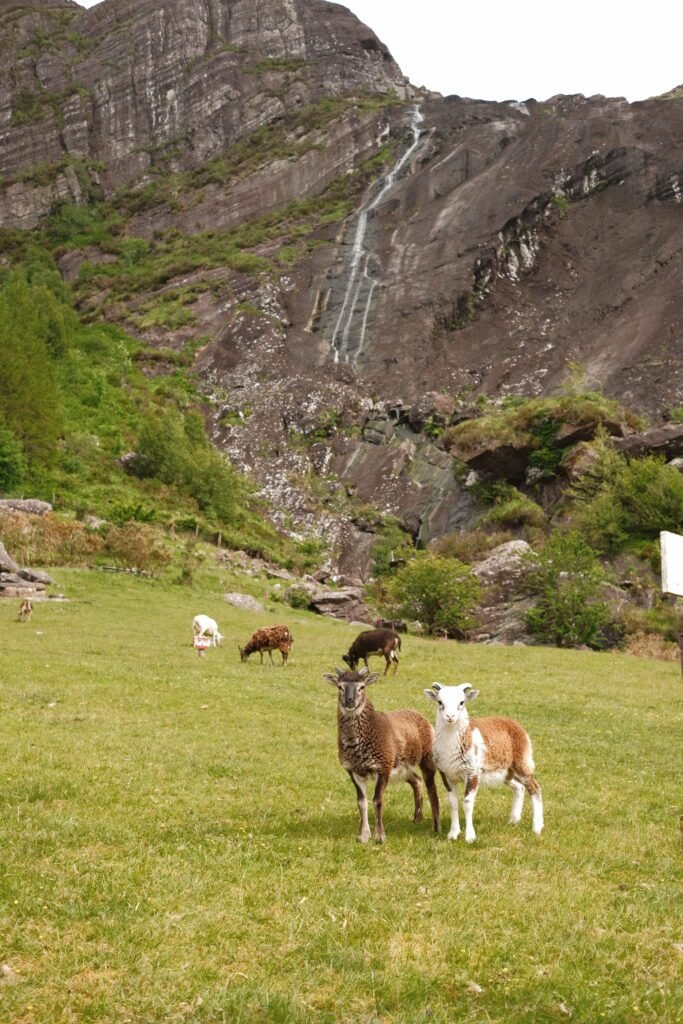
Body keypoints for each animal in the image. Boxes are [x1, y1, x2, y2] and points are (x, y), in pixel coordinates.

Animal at [323, 667, 440, 843]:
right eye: (340, 687)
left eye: (362, 687)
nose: (350, 701)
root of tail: (418, 714)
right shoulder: (353, 770)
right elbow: (361, 802)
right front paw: (364, 836)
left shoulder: (383, 767)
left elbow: (377, 801)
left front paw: (379, 836)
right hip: (402, 767)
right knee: (417, 781)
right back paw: (417, 818)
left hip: (426, 758)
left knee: (431, 789)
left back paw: (436, 826)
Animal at [421, 684, 544, 843]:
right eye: (440, 702)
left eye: (462, 702)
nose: (450, 717)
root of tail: (514, 723)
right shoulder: (446, 774)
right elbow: (453, 803)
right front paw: (453, 834)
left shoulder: (472, 772)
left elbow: (467, 803)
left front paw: (470, 837)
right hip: (504, 771)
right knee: (519, 787)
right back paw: (514, 820)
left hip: (522, 762)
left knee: (535, 788)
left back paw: (537, 827)